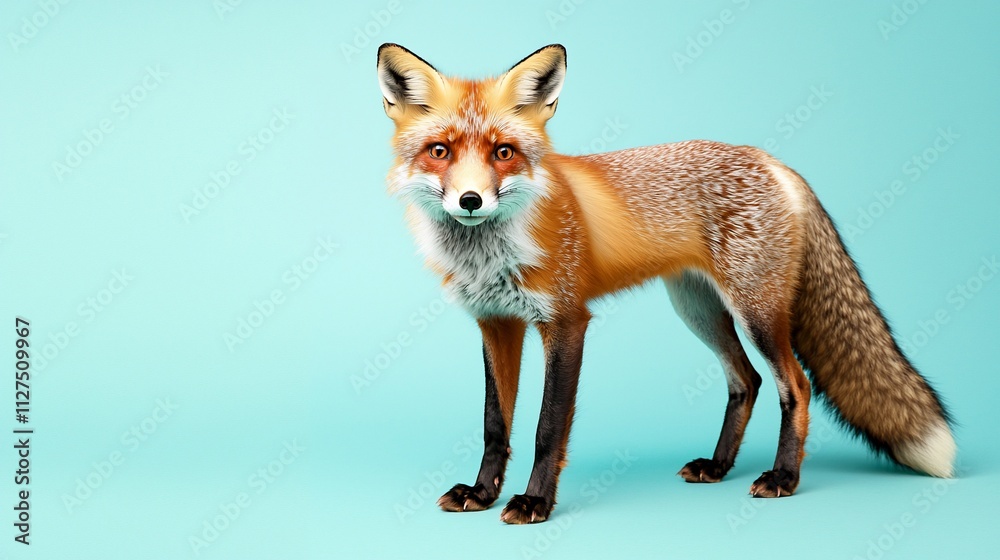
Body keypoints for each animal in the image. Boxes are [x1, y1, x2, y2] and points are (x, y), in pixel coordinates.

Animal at [376, 43, 956, 524]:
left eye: (503, 152)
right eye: (440, 151)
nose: (471, 201)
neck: (492, 254)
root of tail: (775, 163)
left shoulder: (565, 321)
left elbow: (546, 429)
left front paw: (535, 501)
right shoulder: (497, 323)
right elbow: (495, 425)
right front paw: (482, 493)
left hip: (757, 312)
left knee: (795, 385)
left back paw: (784, 477)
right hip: (699, 312)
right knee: (747, 381)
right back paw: (719, 467)